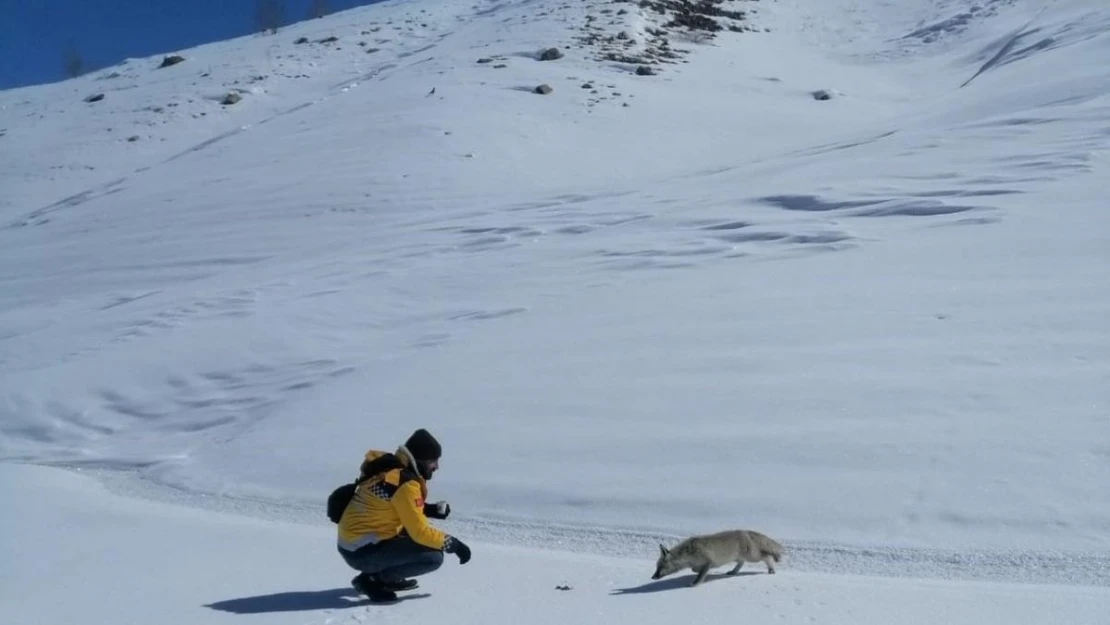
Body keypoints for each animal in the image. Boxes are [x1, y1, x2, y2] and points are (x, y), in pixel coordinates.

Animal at [652, 528, 785, 586]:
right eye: (656, 567)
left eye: (660, 567)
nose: (652, 577)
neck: (688, 554)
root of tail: (746, 531)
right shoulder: (701, 564)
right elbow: (695, 570)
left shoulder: (708, 562)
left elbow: (699, 575)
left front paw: (694, 584)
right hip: (739, 558)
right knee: (740, 564)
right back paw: (733, 572)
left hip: (753, 557)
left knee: (767, 557)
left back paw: (771, 569)